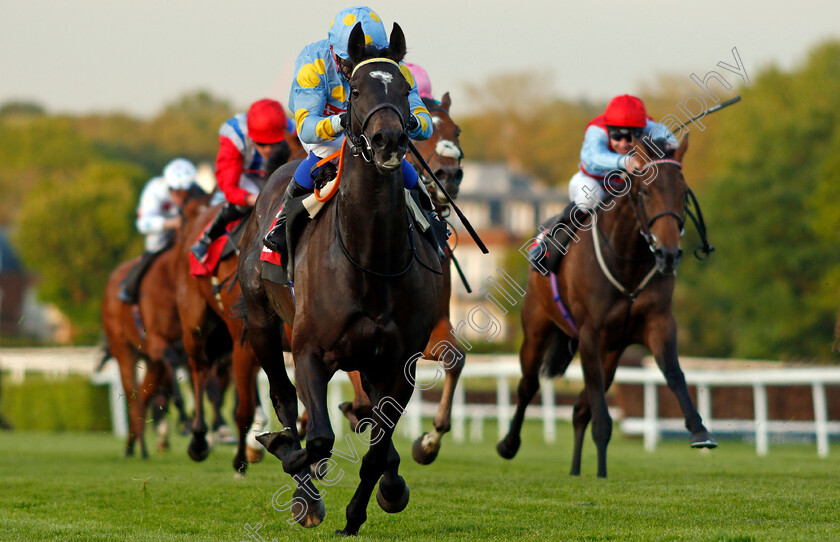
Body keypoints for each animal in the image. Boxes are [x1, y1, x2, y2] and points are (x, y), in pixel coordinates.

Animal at [240, 23, 442, 536]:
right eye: (355, 90)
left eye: (405, 89)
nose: (389, 139)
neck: (370, 260)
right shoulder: (309, 349)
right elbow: (315, 438)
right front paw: (284, 455)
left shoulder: (399, 363)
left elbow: (374, 446)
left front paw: (360, 512)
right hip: (263, 324)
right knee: (285, 400)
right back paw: (301, 490)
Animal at [340, 91, 470, 466]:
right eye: (417, 129)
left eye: (456, 131)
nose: (449, 173)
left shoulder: (431, 325)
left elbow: (455, 359)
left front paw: (429, 441)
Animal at [496, 137, 720, 480]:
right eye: (646, 192)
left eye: (683, 192)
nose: (668, 254)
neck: (629, 261)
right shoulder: (590, 333)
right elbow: (600, 411)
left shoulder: (658, 323)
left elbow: (673, 372)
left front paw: (700, 431)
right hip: (536, 328)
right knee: (528, 384)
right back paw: (509, 444)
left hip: (612, 353)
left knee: (579, 409)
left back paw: (579, 470)